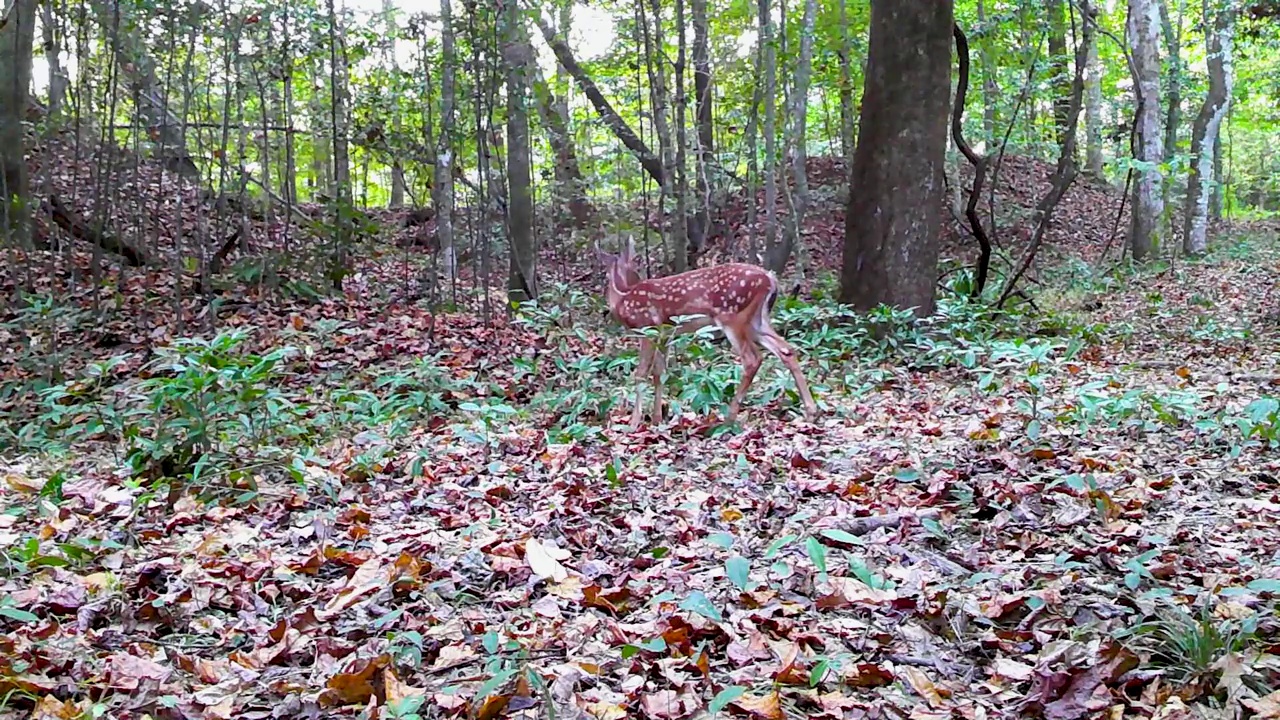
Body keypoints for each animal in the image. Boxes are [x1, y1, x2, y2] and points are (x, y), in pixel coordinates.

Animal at [599, 235, 819, 427]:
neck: (623, 298)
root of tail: (771, 279)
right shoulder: (665, 335)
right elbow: (659, 373)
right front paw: (656, 419)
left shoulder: (647, 328)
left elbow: (641, 373)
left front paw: (633, 423)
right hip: (758, 320)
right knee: (786, 349)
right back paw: (810, 411)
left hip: (733, 315)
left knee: (752, 359)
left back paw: (729, 417)